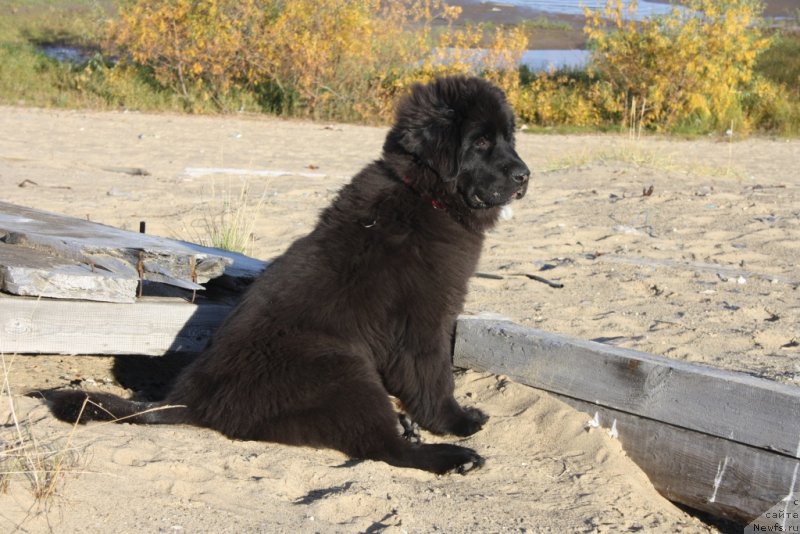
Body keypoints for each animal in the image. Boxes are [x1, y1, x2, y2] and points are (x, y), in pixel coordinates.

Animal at [48, 76, 532, 478]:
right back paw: (451, 457)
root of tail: (189, 399)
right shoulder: (424, 319)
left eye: (508, 139)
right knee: (383, 450)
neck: (423, 194)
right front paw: (457, 421)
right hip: (340, 367)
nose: (524, 175)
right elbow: (434, 376)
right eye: (480, 142)